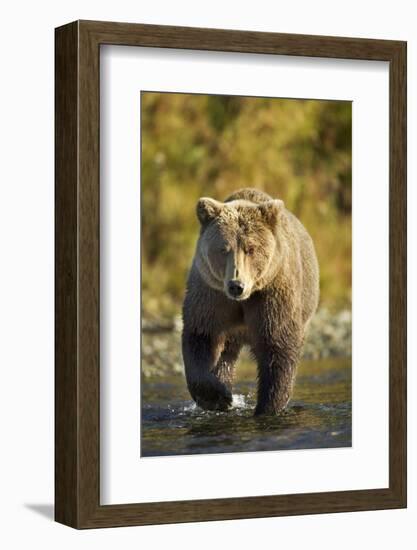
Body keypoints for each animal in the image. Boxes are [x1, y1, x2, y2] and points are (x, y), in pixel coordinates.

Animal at [182, 188, 318, 416]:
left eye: (251, 248)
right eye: (223, 249)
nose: (236, 285)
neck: (243, 300)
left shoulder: (271, 294)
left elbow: (277, 346)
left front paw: (267, 407)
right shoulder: (211, 295)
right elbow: (201, 336)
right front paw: (218, 397)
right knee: (225, 355)